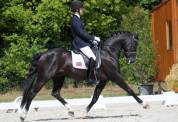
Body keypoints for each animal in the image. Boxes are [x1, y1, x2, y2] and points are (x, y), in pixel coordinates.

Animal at [19, 31, 149, 121]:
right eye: (134, 43)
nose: (132, 60)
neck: (108, 53)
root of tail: (42, 54)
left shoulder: (103, 80)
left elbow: (95, 98)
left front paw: (84, 113)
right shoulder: (115, 76)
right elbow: (129, 89)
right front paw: (144, 104)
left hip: (58, 77)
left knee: (55, 93)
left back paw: (71, 111)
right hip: (44, 77)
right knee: (32, 93)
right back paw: (23, 116)